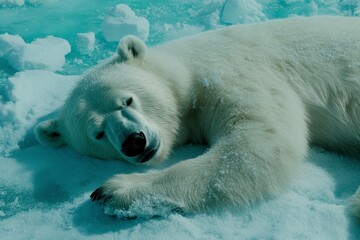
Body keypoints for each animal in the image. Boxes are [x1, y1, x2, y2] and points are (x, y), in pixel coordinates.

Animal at [35, 15, 360, 217]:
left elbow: (260, 140)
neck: (185, 70)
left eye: (127, 99)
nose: (134, 142)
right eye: (98, 133)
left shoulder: (232, 73)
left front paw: (113, 190)